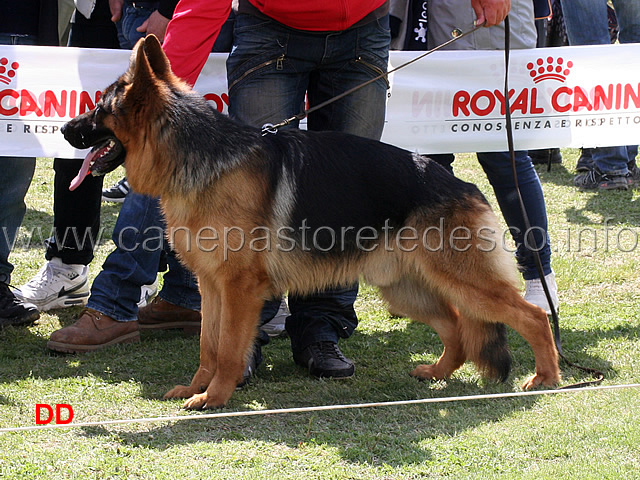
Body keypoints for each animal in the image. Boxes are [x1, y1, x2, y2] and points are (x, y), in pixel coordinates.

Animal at [63, 36, 560, 408]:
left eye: (100, 110)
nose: (65, 129)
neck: (199, 155)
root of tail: (464, 185)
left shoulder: (240, 289)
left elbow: (228, 349)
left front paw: (215, 397)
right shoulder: (212, 285)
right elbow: (209, 345)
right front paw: (197, 387)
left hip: (464, 282)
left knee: (533, 316)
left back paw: (547, 378)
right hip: (406, 289)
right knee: (457, 326)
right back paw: (437, 372)